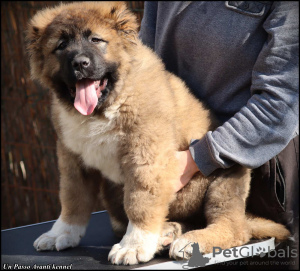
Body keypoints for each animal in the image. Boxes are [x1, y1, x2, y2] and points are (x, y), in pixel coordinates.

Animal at [27, 1, 290, 266]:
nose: (80, 63)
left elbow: (140, 202)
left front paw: (133, 246)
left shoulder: (145, 156)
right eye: (61, 46)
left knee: (233, 227)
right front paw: (61, 233)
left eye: (96, 40)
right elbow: (72, 199)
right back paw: (167, 233)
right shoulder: (72, 158)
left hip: (225, 177)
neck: (104, 108)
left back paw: (190, 241)